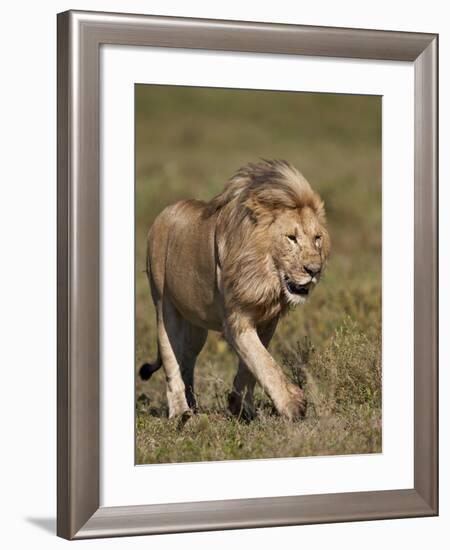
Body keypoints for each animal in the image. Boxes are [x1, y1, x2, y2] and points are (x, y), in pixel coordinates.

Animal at [140, 160, 330, 422]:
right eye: (291, 238)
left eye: (317, 238)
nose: (314, 270)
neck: (265, 276)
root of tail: (166, 211)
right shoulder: (235, 320)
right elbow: (263, 362)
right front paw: (294, 406)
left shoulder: (268, 321)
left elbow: (251, 364)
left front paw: (241, 406)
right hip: (164, 306)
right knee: (171, 359)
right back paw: (181, 412)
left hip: (196, 329)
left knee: (187, 359)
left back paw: (193, 405)